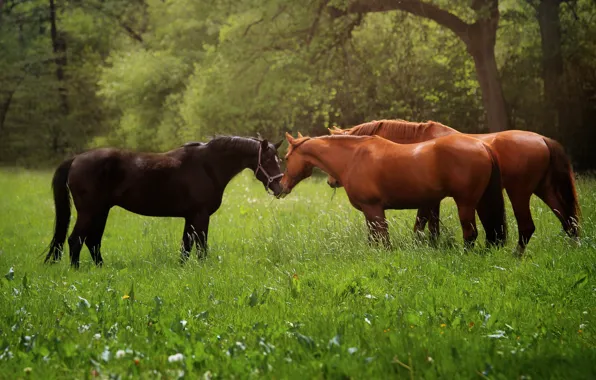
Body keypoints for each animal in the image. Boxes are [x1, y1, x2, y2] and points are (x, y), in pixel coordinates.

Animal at [44, 137, 284, 268]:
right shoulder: (201, 215)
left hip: (101, 212)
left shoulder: (191, 216)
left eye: (278, 159)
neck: (207, 166)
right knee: (75, 240)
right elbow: (201, 246)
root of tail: (76, 159)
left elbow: (186, 246)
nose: (281, 188)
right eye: (268, 159)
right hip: (89, 212)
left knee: (92, 242)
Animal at [280, 132, 508, 248]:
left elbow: (383, 240)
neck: (353, 157)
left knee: (470, 234)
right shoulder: (370, 213)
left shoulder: (374, 209)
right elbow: (373, 239)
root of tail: (483, 146)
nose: (281, 186)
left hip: (466, 203)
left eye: (286, 157)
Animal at [328, 120, 580, 254]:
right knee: (568, 220)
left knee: (527, 227)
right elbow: (430, 227)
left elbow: (421, 225)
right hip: (544, 189)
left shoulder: (428, 200)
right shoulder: (432, 200)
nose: (332, 181)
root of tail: (543, 140)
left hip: (519, 192)